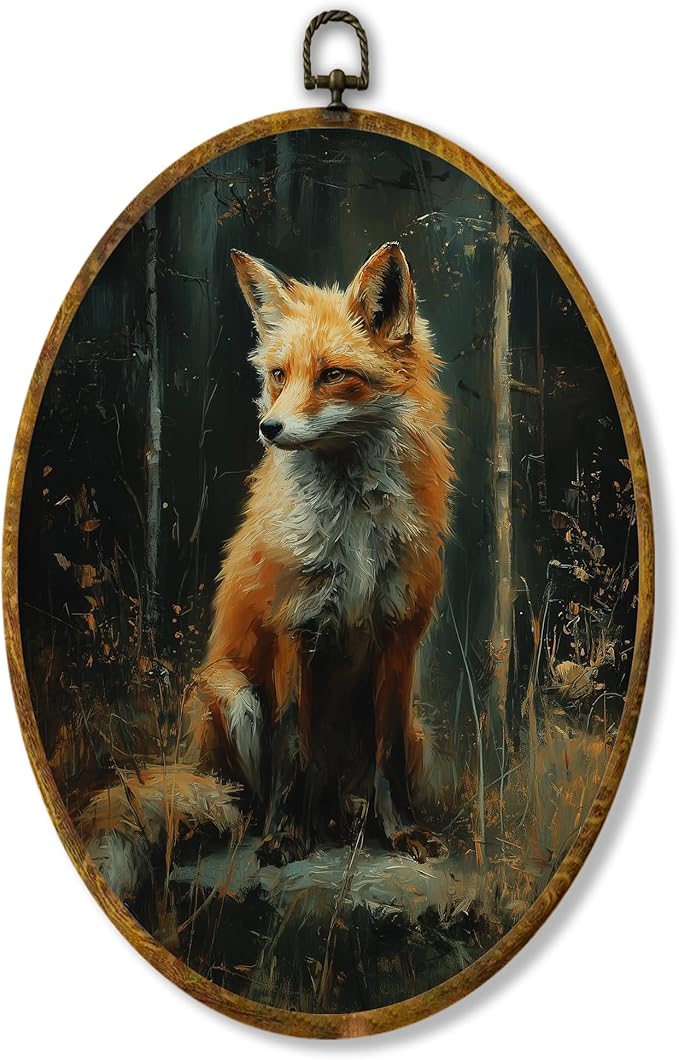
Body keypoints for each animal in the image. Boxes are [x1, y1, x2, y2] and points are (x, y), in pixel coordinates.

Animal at [186, 240, 454, 867]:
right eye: (278, 375)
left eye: (334, 375)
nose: (269, 427)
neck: (353, 530)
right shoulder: (295, 626)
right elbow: (291, 749)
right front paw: (285, 836)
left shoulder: (398, 633)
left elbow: (387, 759)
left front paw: (402, 832)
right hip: (232, 696)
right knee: (254, 794)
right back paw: (280, 824)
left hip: (419, 734)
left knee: (354, 785)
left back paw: (346, 819)